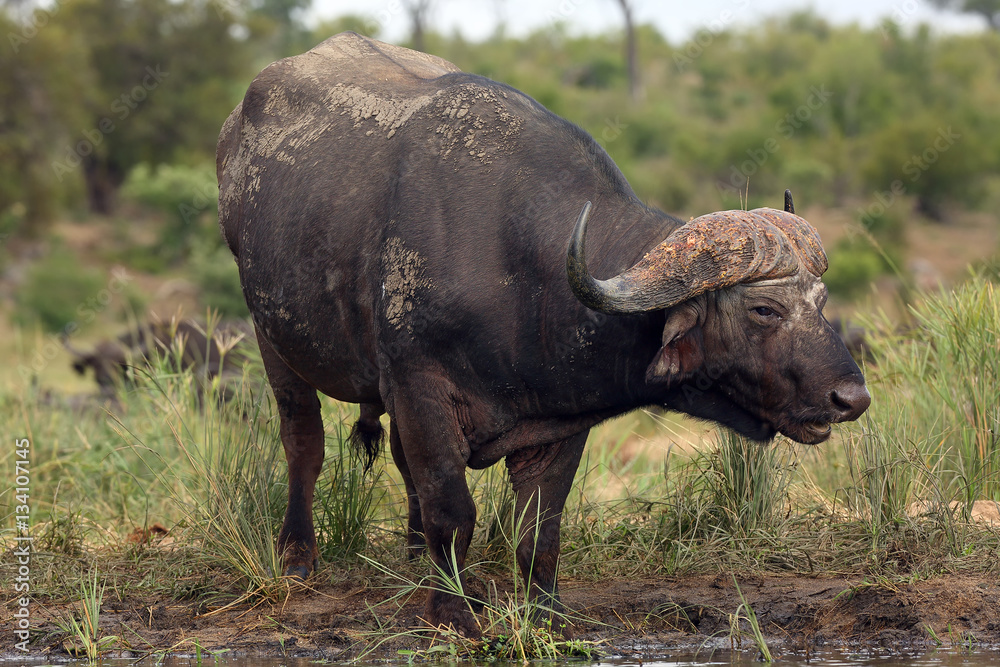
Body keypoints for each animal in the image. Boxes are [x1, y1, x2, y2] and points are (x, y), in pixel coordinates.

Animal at [217, 33, 870, 636]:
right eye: (763, 309)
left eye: (820, 302)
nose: (852, 398)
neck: (523, 267)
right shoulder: (420, 388)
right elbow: (453, 512)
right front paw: (454, 614)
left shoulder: (557, 420)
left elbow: (539, 527)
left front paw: (545, 613)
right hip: (273, 338)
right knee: (304, 442)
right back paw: (298, 556)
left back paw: (412, 561)